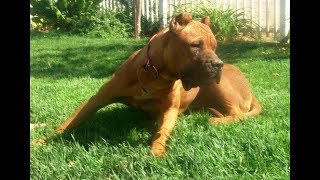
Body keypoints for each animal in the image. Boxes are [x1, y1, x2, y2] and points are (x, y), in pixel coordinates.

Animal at [36, 13, 262, 156]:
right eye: (196, 45)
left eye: (215, 47)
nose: (218, 64)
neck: (155, 74)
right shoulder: (98, 98)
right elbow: (69, 122)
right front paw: (43, 140)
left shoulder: (169, 109)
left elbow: (162, 131)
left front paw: (157, 149)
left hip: (218, 86)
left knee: (237, 114)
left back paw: (215, 120)